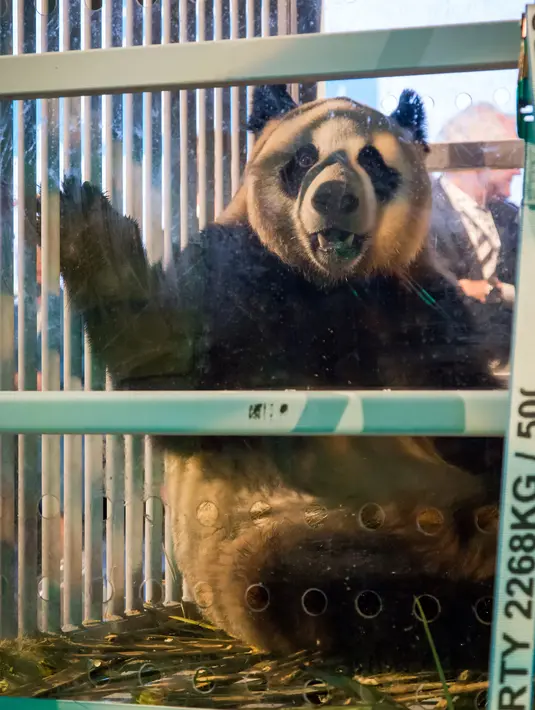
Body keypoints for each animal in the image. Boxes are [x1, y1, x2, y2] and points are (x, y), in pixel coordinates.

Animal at [31, 85, 504, 674]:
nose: (334, 197)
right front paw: (92, 236)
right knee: (332, 584)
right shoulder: (238, 273)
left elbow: (461, 394)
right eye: (303, 159)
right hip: (285, 534)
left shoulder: (414, 301)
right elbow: (179, 388)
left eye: (372, 160)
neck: (330, 285)